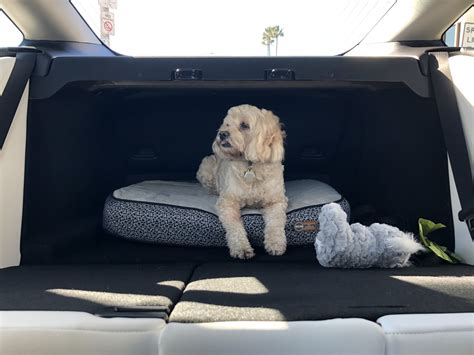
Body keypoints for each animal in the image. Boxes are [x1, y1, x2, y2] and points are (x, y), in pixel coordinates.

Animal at [197, 104, 286, 260]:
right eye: (227, 124)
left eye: (244, 125)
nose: (222, 134)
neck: (251, 166)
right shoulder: (227, 203)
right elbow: (234, 226)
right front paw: (241, 248)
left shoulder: (276, 201)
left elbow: (276, 221)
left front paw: (275, 243)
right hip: (206, 167)